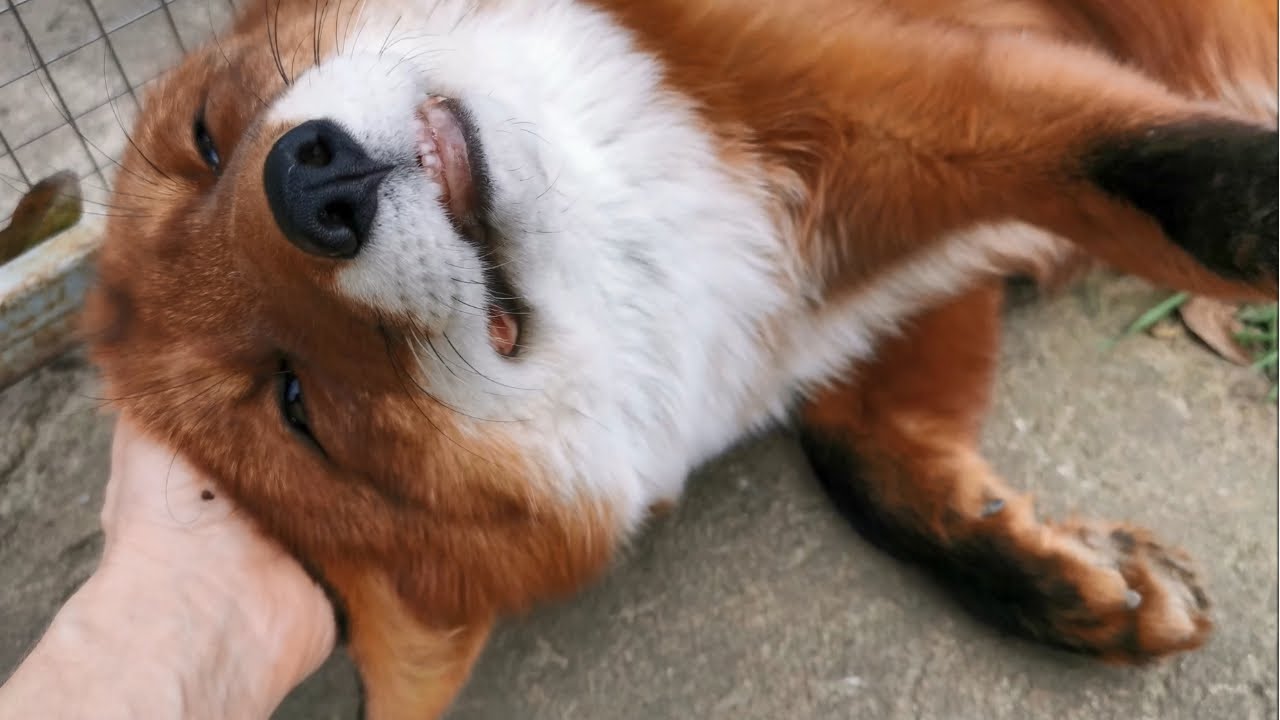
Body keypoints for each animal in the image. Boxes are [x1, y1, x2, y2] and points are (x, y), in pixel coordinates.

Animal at [80, 0, 1277, 717]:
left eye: (207, 137)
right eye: (297, 406)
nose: (310, 181)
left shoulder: (921, 91)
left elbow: (1173, 172)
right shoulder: (883, 266)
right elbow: (860, 463)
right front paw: (1043, 571)